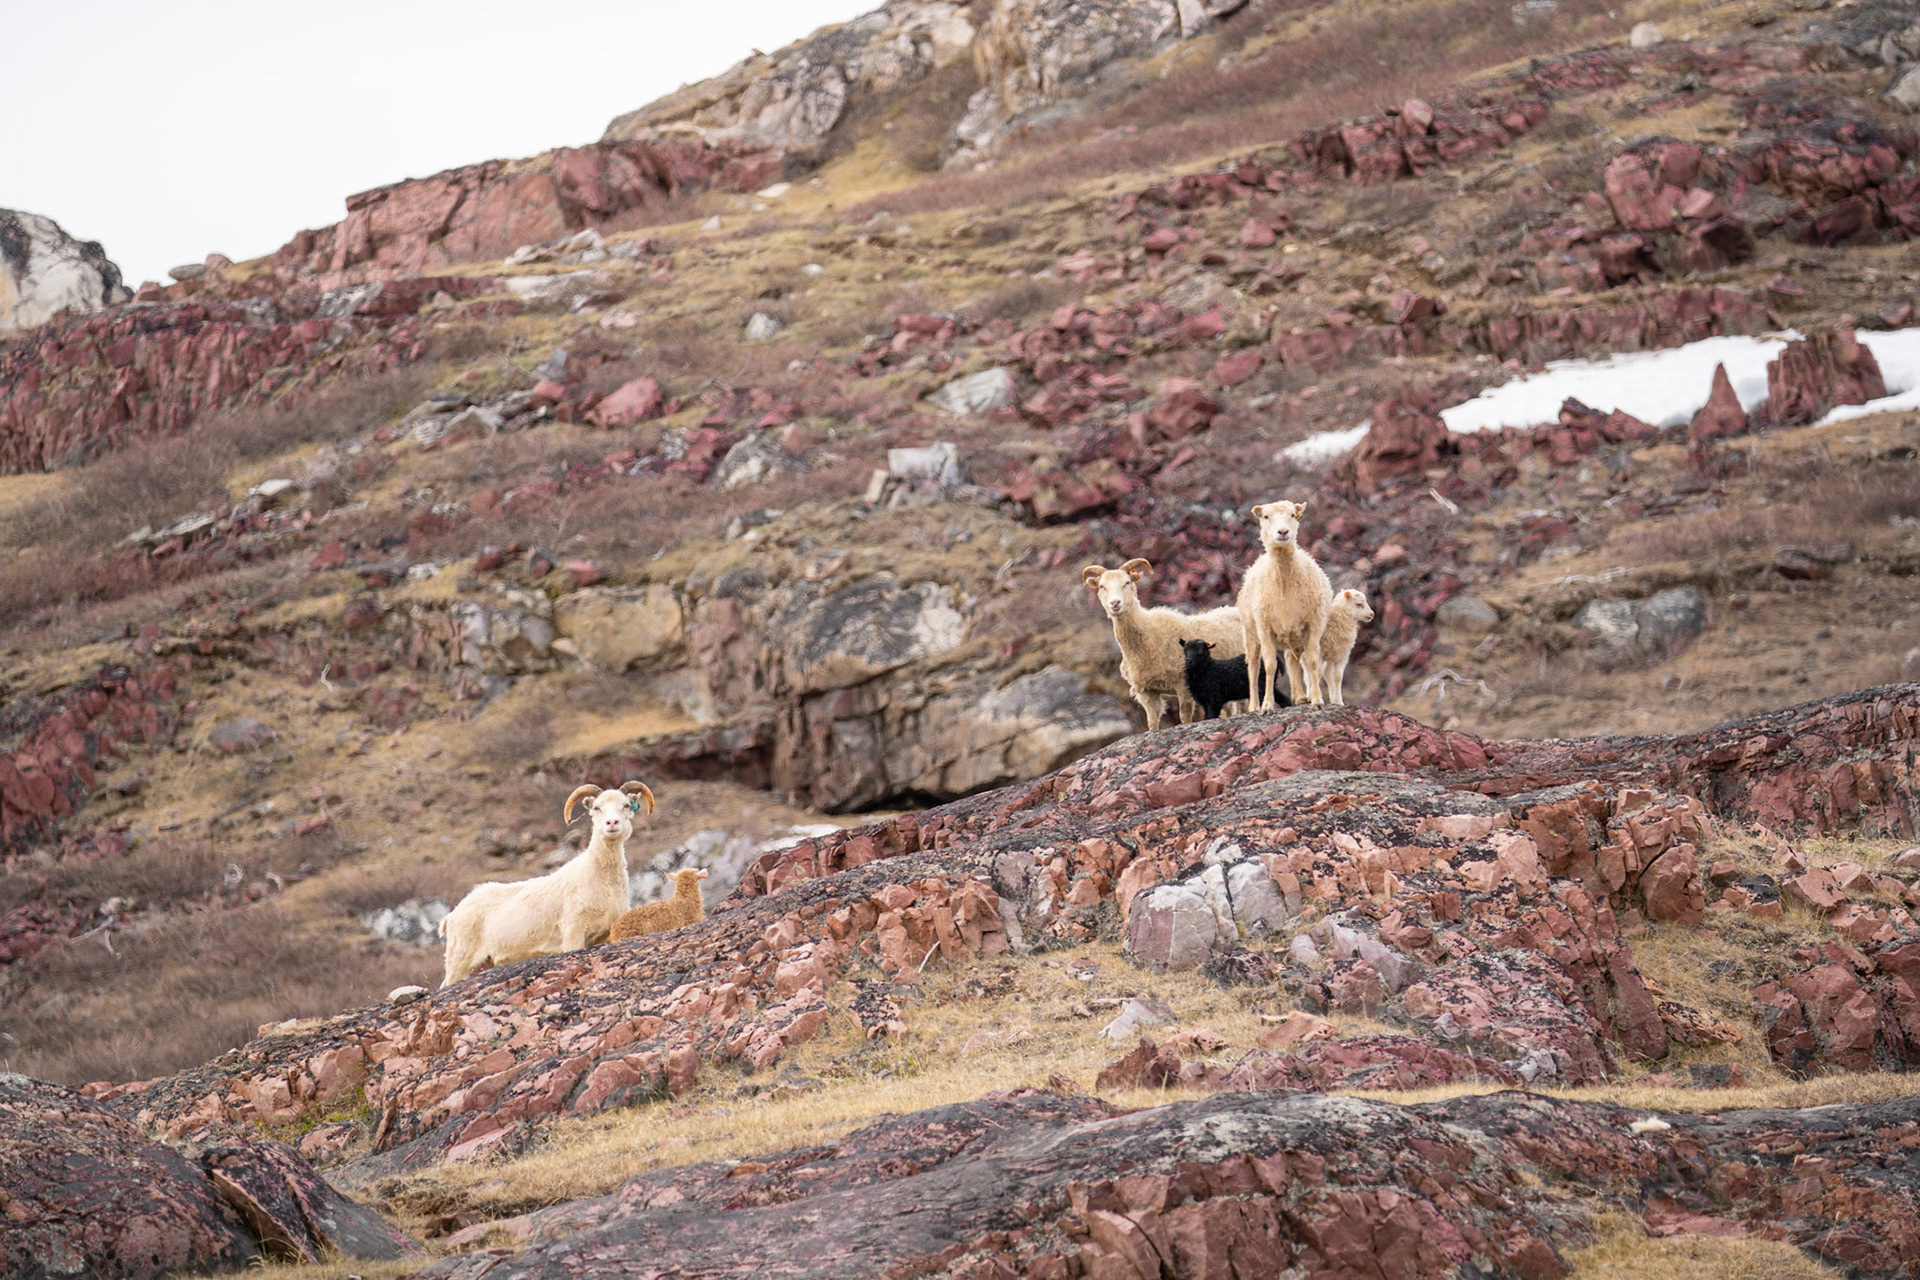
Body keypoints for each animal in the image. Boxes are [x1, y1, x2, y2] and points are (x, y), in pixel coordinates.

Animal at [438, 780, 655, 987]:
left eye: (625, 805)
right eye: (597, 807)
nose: (612, 823)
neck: (600, 878)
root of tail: (452, 916)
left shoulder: (603, 934)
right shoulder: (573, 933)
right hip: (459, 962)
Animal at [1083, 559, 1247, 730]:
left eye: (1127, 582)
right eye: (1101, 586)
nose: (1115, 603)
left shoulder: (1183, 686)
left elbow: (1185, 718)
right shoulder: (1148, 692)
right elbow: (1152, 722)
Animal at [1236, 500, 1334, 709]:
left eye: (1292, 515)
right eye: (1266, 517)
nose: (1282, 532)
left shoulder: (1313, 623)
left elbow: (1312, 661)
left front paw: (1317, 700)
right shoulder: (1264, 628)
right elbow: (1270, 664)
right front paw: (1267, 706)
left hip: (1294, 633)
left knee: (1291, 660)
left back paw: (1300, 697)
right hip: (1250, 635)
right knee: (1253, 667)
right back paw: (1254, 705)